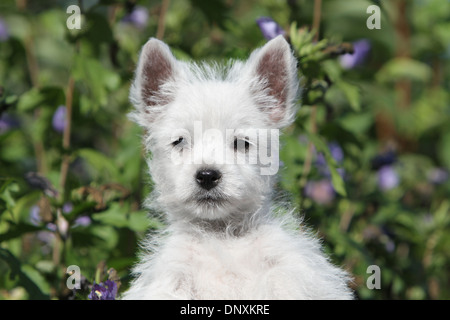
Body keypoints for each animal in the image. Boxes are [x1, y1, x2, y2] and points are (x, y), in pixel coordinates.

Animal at [123, 35, 356, 300]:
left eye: (242, 143)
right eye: (180, 141)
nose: (207, 175)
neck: (222, 236)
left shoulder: (289, 270)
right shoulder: (171, 277)